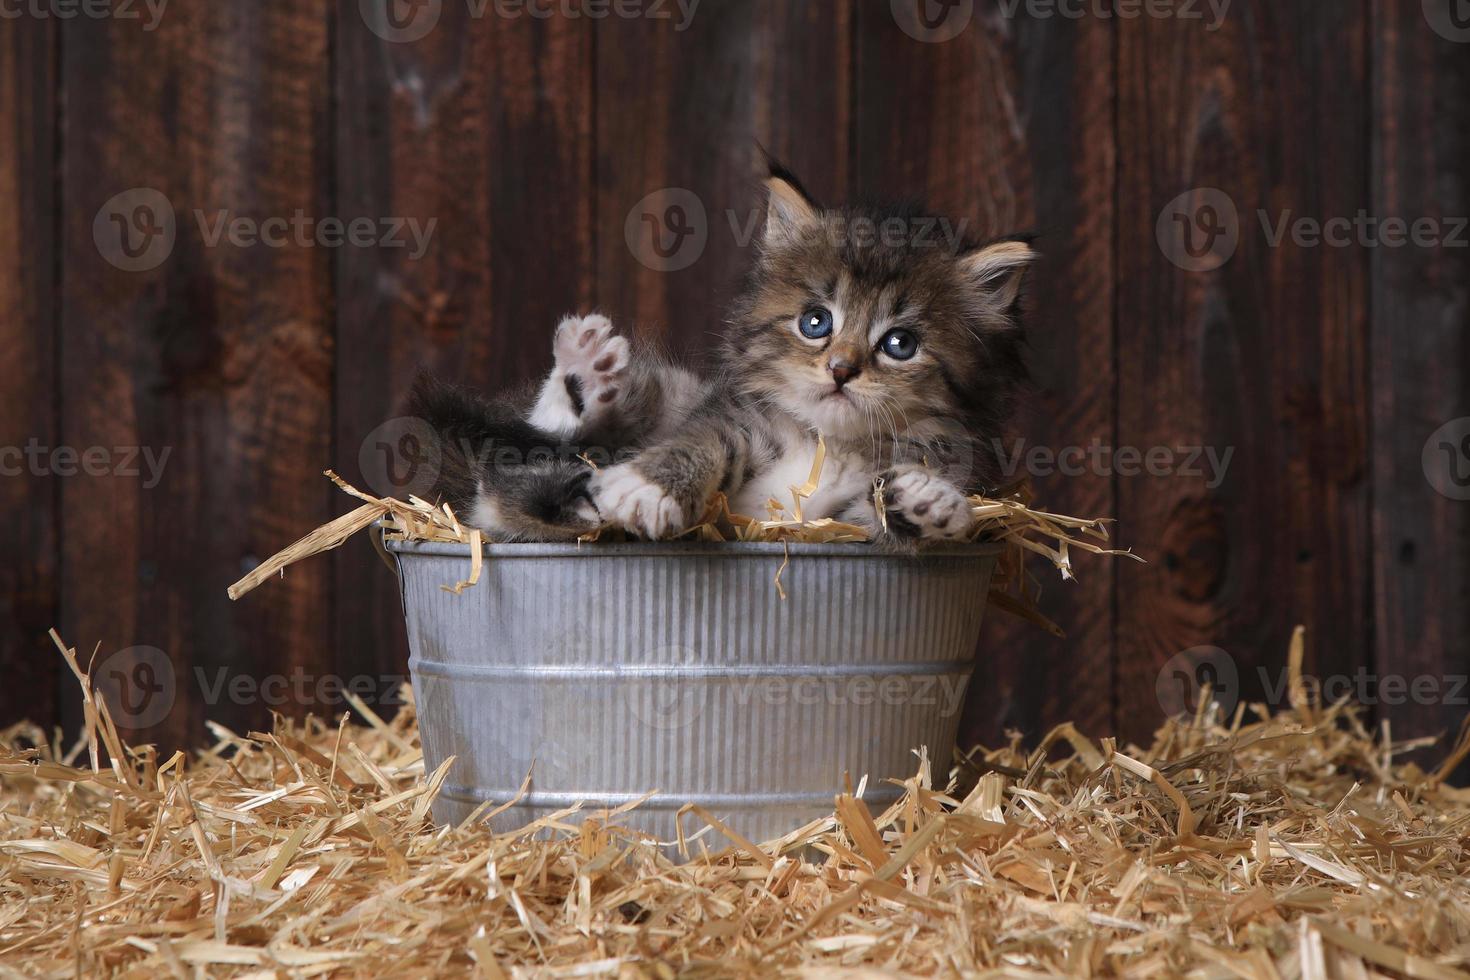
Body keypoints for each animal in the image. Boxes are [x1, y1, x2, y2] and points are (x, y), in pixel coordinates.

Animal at [408, 161, 1029, 543]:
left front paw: (926, 501)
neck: (827, 442)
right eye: (816, 322)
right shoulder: (731, 415)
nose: (840, 370)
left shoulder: (845, 522)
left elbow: (873, 514)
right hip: (662, 395)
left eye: (900, 344)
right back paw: (586, 377)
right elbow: (702, 442)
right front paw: (650, 486)